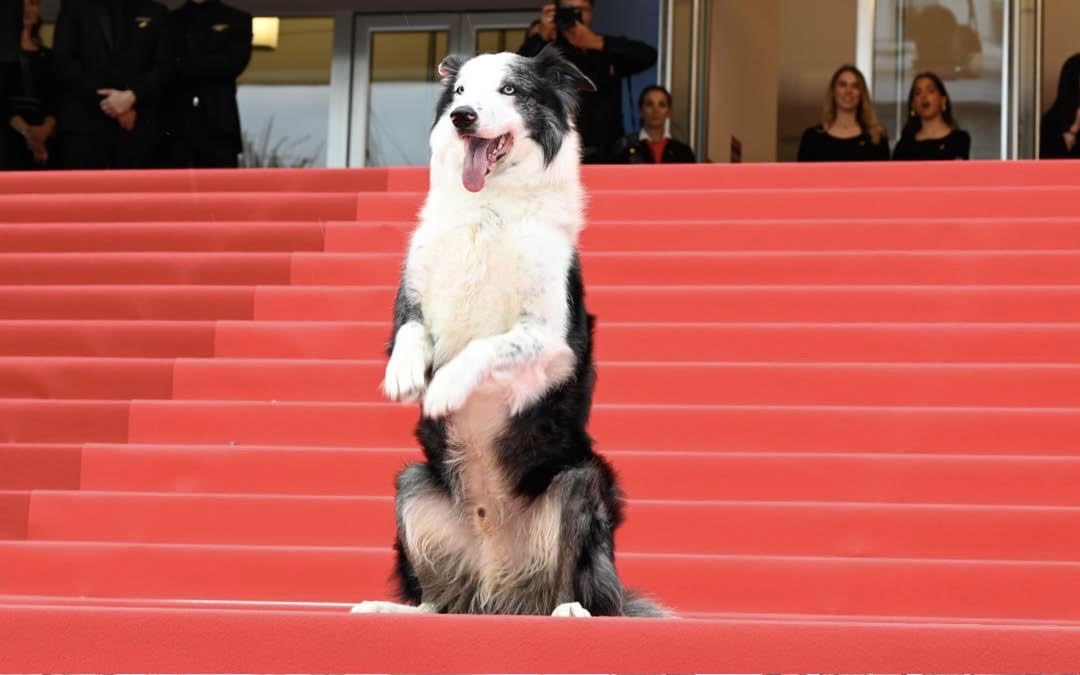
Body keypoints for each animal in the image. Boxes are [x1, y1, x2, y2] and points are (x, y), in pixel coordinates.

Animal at [349, 46, 660, 617]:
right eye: (459, 92)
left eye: (510, 90)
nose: (462, 118)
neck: (487, 206)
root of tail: (503, 591)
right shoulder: (413, 302)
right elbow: (410, 335)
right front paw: (405, 377)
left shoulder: (552, 343)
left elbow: (485, 346)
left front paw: (444, 387)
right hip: (411, 485)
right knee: (439, 602)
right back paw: (393, 609)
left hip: (579, 483)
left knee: (581, 588)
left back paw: (570, 611)